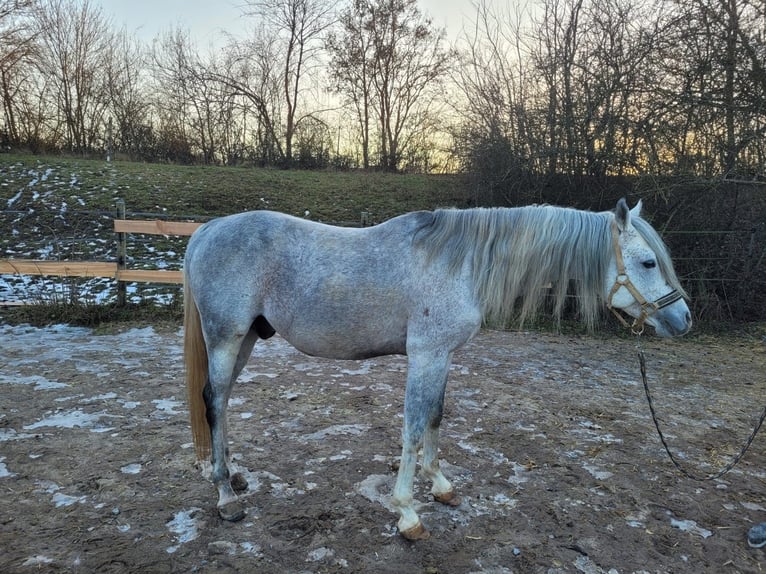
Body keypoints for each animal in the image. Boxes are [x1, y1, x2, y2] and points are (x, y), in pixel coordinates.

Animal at [183, 198, 691, 540]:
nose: (684, 318)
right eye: (648, 262)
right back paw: (226, 496)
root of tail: (207, 230)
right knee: (214, 400)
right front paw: (407, 513)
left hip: (247, 337)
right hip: (226, 337)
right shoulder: (425, 354)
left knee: (222, 402)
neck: (460, 264)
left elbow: (435, 417)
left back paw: (234, 474)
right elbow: (411, 426)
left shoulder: (443, 356)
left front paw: (442, 486)